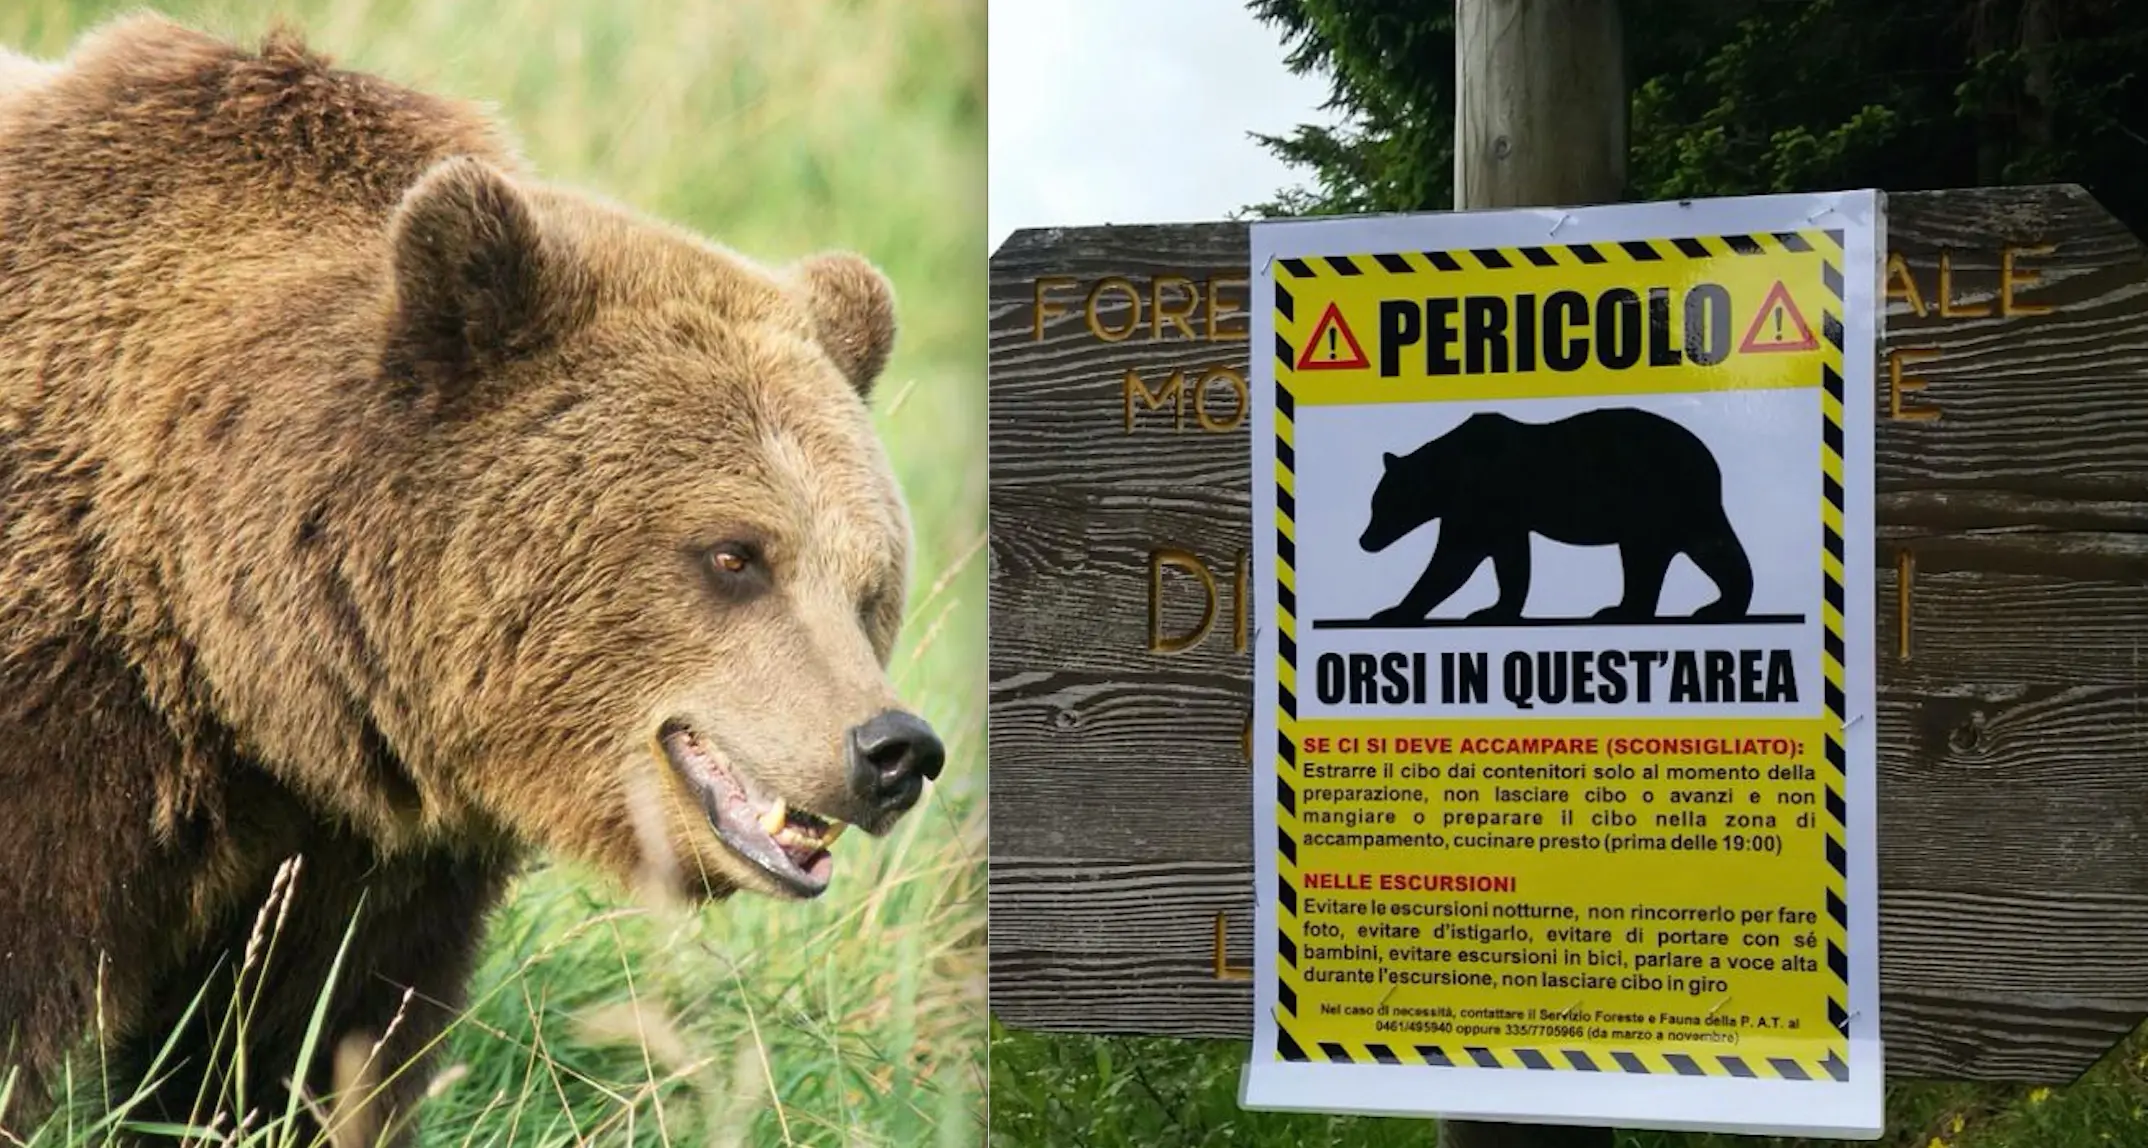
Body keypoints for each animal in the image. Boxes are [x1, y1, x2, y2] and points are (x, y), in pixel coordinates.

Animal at [0, 15, 946, 1147]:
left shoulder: (363, 855)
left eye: (869, 584)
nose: (892, 749)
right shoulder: (67, 720)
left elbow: (301, 1044)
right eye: (736, 554)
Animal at [1357, 407, 1754, 624]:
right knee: (1705, 547)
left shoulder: (1482, 499)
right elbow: (1510, 559)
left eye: (1380, 505)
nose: (1365, 540)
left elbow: (1454, 560)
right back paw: (1715, 605)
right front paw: (1496, 609)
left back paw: (1630, 610)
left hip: (1655, 499)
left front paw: (1394, 611)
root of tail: (1711, 463)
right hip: (1678, 507)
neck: (1451, 471)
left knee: (1653, 556)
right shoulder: (1499, 514)